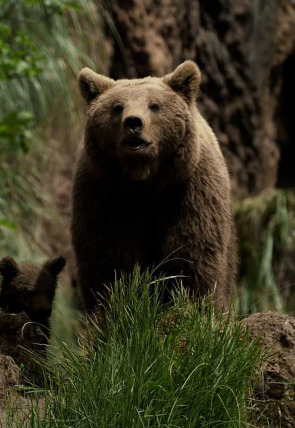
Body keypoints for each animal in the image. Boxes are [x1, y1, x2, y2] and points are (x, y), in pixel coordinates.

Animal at [71, 60, 238, 314]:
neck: (144, 182)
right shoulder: (103, 194)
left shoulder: (188, 191)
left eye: (154, 105)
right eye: (117, 107)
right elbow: (107, 258)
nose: (133, 122)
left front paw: (188, 309)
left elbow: (191, 253)